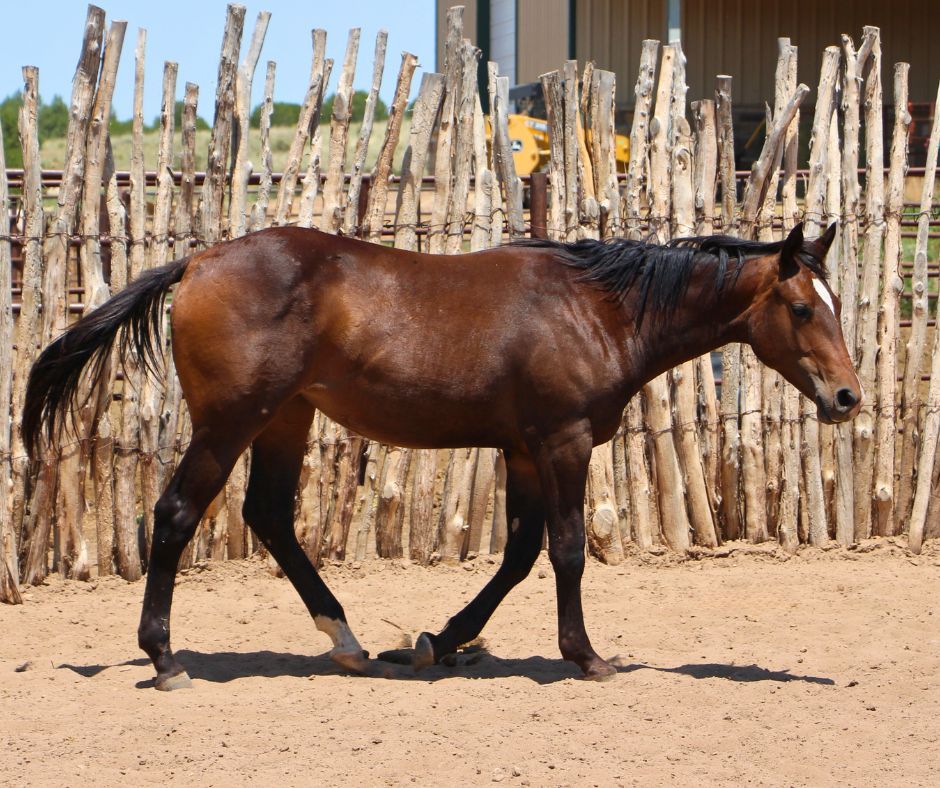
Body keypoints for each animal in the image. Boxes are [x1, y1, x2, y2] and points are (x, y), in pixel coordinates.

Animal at [23, 220, 861, 689]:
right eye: (800, 308)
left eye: (836, 305)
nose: (848, 397)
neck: (596, 308)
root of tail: (197, 263)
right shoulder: (562, 441)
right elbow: (566, 550)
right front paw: (586, 657)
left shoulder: (522, 450)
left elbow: (518, 556)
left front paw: (438, 642)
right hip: (232, 421)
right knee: (174, 514)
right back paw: (165, 660)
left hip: (286, 417)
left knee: (270, 517)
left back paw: (349, 643)